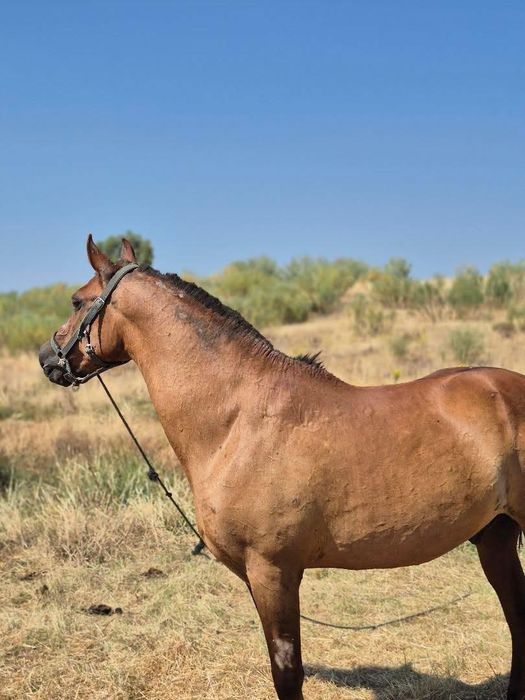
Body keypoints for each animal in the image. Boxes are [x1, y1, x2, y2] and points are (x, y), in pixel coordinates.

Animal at [39, 235, 525, 700]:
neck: (238, 420)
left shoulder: (273, 571)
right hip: (496, 537)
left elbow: (287, 674)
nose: (47, 357)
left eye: (77, 301)